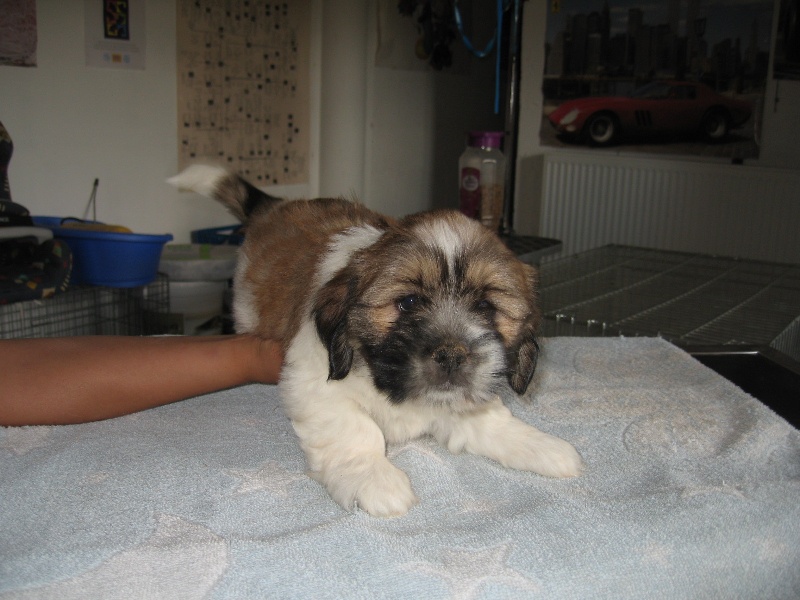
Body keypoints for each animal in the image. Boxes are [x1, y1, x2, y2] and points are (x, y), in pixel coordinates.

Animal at [169, 165, 584, 517]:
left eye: (485, 306)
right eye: (409, 302)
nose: (452, 355)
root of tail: (278, 207)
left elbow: (488, 418)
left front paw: (538, 446)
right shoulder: (312, 381)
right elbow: (354, 428)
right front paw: (374, 478)